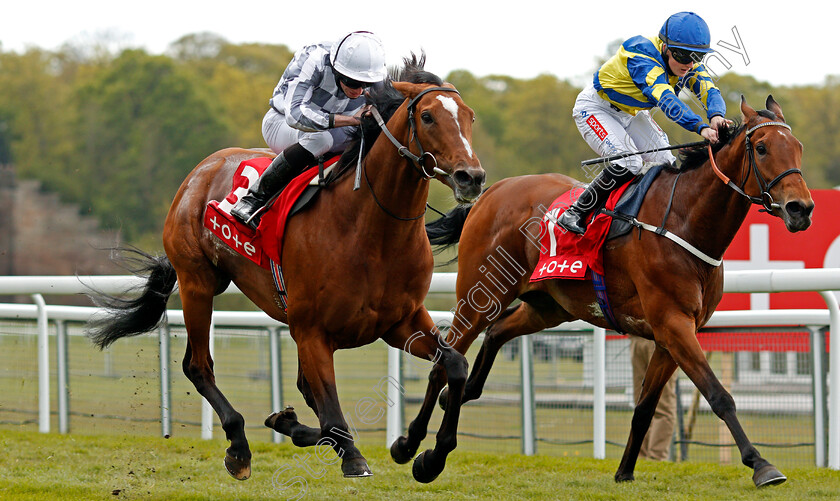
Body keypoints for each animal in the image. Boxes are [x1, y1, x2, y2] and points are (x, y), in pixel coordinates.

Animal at [86, 56, 486, 482]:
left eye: (470, 116)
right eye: (427, 116)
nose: (471, 177)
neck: (373, 232)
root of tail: (202, 169)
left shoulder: (400, 321)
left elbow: (455, 365)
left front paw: (425, 454)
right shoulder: (311, 330)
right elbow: (330, 409)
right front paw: (354, 455)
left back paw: (287, 424)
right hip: (198, 283)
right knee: (198, 366)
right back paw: (239, 446)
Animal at [394, 95, 812, 486]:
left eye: (798, 147)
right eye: (762, 148)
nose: (801, 208)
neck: (684, 221)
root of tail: (489, 192)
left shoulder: (672, 335)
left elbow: (644, 408)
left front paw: (625, 472)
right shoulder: (673, 325)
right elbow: (719, 395)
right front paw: (761, 465)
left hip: (549, 305)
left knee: (495, 335)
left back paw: (458, 399)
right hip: (481, 295)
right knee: (445, 362)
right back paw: (416, 449)